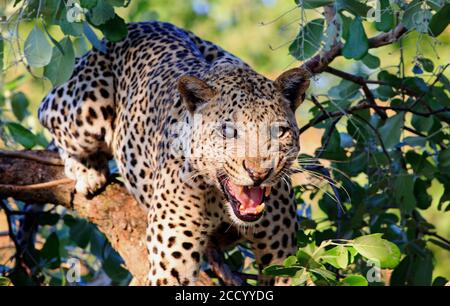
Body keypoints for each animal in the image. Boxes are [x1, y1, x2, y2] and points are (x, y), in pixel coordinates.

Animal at [37, 20, 310, 284]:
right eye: (228, 131)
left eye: (279, 131)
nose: (259, 173)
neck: (219, 201)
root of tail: (139, 24)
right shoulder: (170, 266)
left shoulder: (282, 256)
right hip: (84, 112)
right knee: (46, 113)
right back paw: (87, 171)